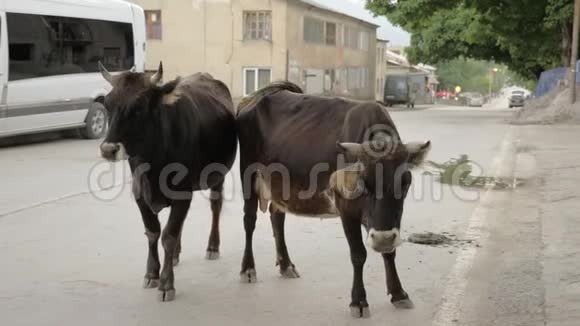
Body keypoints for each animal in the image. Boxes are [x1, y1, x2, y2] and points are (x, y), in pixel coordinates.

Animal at [98, 62, 237, 302]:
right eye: (108, 104)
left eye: (139, 107)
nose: (108, 149)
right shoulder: (139, 193)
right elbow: (153, 232)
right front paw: (152, 273)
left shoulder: (182, 193)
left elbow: (169, 236)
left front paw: (166, 283)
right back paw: (174, 257)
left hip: (218, 175)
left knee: (215, 206)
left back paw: (212, 247)